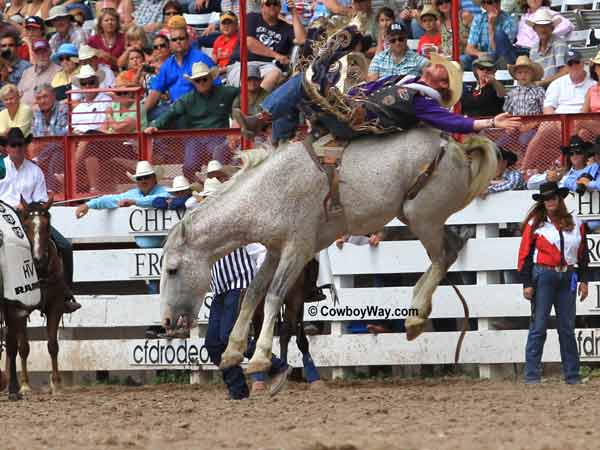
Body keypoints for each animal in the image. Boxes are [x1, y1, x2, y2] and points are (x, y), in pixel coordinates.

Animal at [2, 200, 69, 398]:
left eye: (47, 226)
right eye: (26, 227)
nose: (38, 258)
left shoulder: (56, 306)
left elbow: (53, 345)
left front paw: (56, 384)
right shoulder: (20, 309)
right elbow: (23, 347)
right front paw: (25, 385)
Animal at [159, 128, 496, 374]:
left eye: (173, 269)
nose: (166, 321)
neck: (268, 191)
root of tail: (454, 145)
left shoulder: (297, 248)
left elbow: (272, 297)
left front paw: (260, 357)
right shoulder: (274, 250)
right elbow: (252, 295)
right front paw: (233, 351)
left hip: (421, 216)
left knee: (443, 256)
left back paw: (414, 318)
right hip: (420, 218)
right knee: (450, 249)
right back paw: (416, 316)